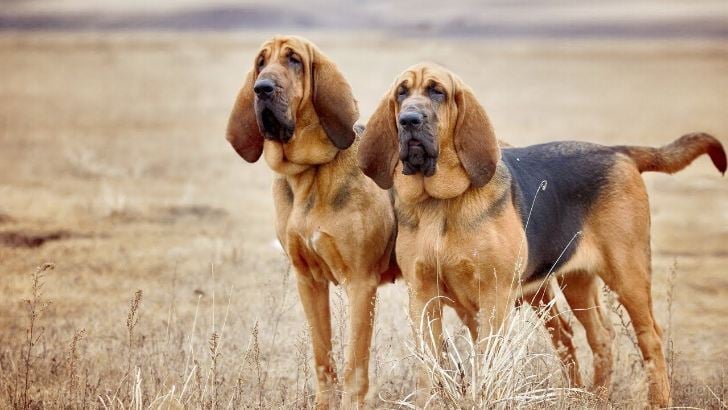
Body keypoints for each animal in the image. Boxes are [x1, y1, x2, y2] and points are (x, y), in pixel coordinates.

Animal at [226, 35, 398, 408]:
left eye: (294, 60)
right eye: (261, 62)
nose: (262, 88)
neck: (310, 174)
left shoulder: (361, 283)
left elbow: (354, 366)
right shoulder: (308, 281)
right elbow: (323, 359)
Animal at [357, 62, 726, 406]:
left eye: (437, 92)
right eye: (401, 94)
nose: (409, 121)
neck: (441, 203)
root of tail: (618, 151)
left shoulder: (494, 296)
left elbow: (487, 362)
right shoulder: (423, 297)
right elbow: (429, 365)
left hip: (627, 276)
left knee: (650, 335)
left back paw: (658, 399)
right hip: (574, 283)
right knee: (600, 336)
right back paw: (593, 397)